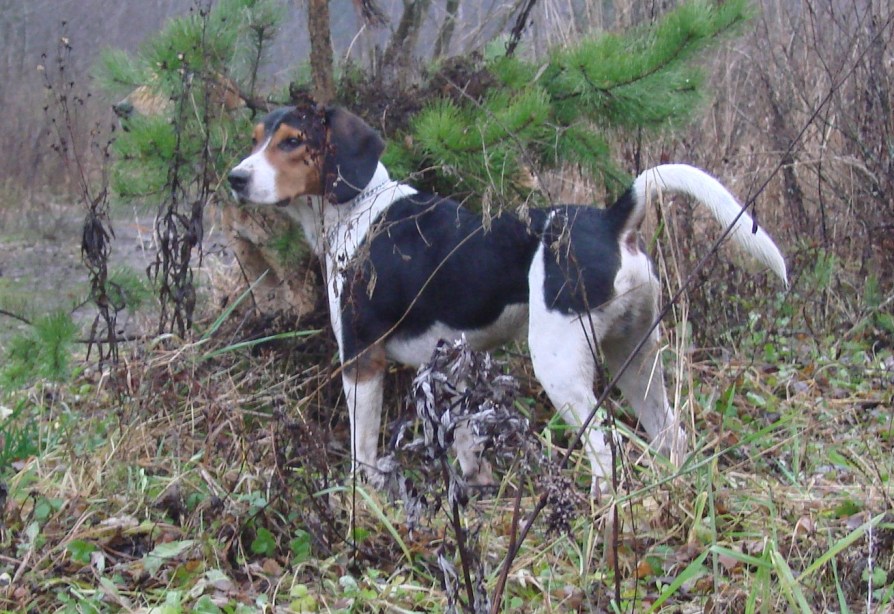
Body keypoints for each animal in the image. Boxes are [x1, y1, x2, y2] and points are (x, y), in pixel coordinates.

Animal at [228, 106, 788, 498]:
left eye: (292, 141)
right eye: (255, 141)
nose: (235, 177)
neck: (358, 207)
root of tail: (611, 220)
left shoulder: (361, 360)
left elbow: (362, 448)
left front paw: (364, 502)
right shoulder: (454, 370)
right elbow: (467, 446)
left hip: (562, 368)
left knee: (603, 446)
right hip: (636, 360)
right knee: (672, 436)